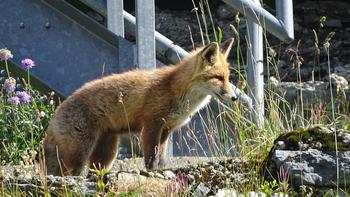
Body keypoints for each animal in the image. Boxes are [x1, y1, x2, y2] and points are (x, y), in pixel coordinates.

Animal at [43, 38, 235, 175]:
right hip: (80, 152)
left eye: (227, 78)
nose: (234, 97)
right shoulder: (152, 124)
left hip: (106, 155)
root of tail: (56, 111)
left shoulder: (166, 129)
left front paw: (161, 170)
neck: (175, 90)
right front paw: (152, 172)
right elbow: (151, 156)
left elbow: (161, 157)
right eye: (218, 78)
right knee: (71, 174)